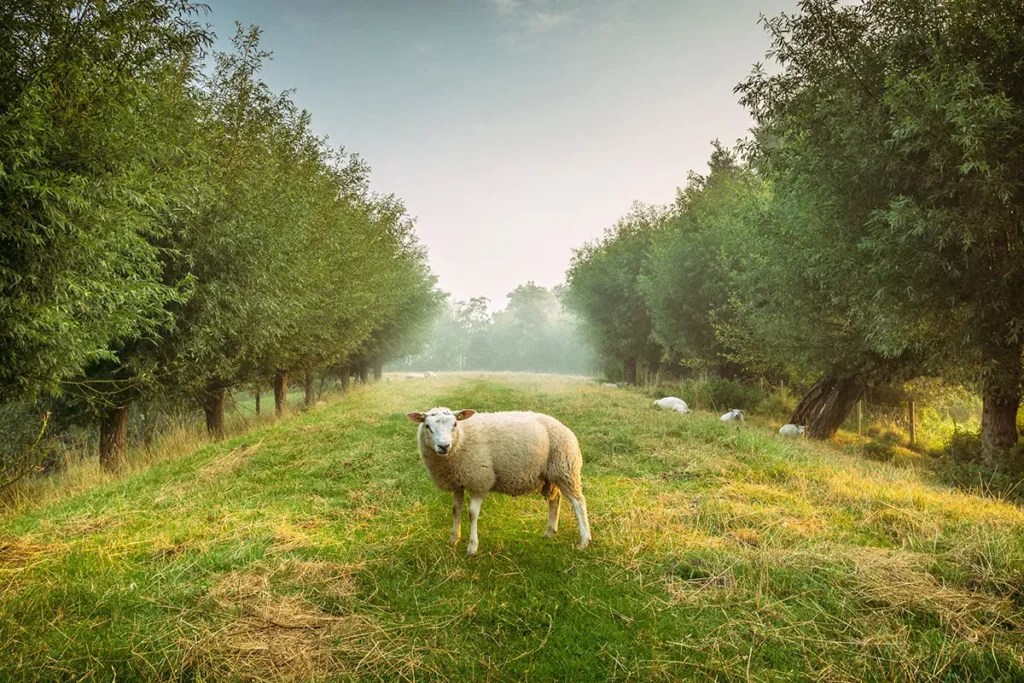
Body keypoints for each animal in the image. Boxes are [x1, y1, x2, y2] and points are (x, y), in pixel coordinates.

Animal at [406, 406, 591, 556]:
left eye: (454, 425)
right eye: (428, 426)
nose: (444, 446)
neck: (462, 439)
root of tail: (562, 426)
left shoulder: (479, 480)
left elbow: (472, 514)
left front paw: (472, 547)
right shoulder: (458, 482)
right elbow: (456, 510)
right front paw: (453, 539)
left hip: (565, 468)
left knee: (578, 502)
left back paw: (584, 540)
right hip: (549, 475)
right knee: (555, 499)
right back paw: (549, 532)